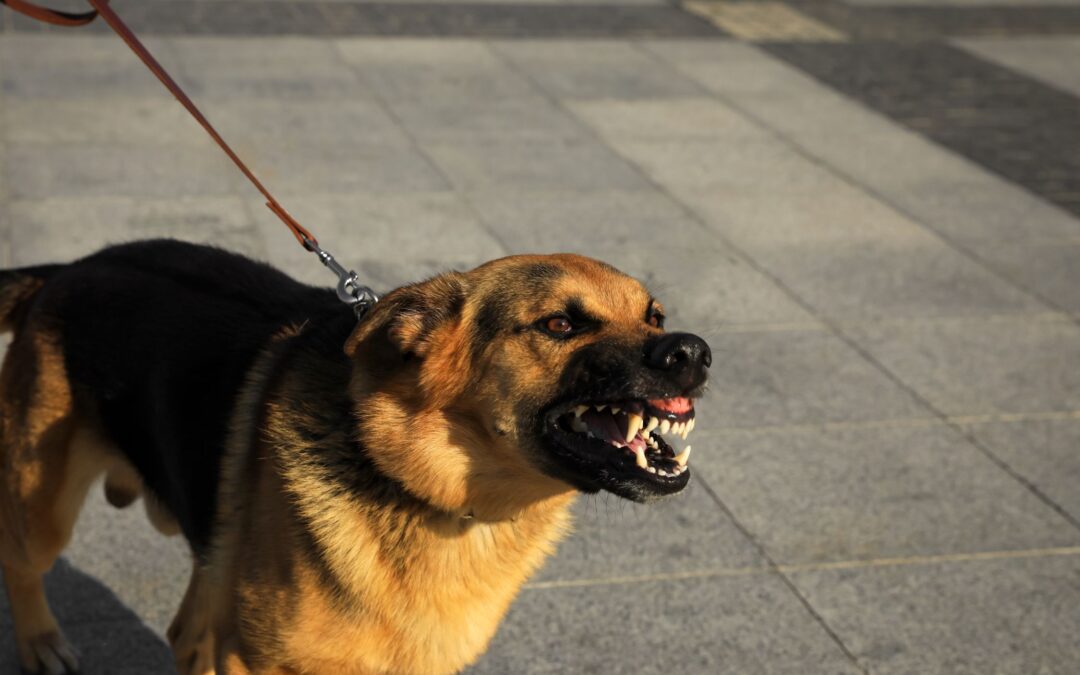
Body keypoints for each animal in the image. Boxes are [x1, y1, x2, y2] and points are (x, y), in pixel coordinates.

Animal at [0, 239, 708, 669]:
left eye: (654, 316)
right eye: (560, 325)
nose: (693, 352)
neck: (431, 495)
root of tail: (70, 267)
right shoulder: (258, 661)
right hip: (42, 506)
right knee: (21, 564)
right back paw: (40, 643)